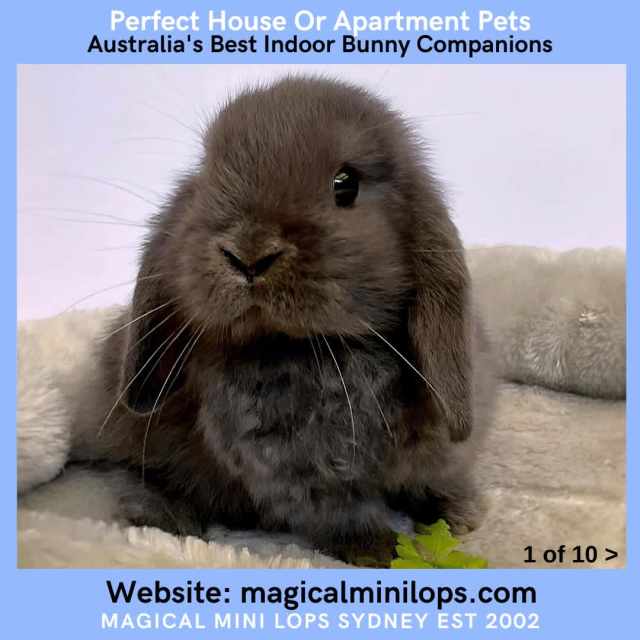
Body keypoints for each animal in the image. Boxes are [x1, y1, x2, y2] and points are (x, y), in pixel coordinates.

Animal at [71, 76, 496, 564]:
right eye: (207, 175)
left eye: (346, 184)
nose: (248, 253)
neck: (319, 347)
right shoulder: (298, 474)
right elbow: (343, 515)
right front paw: (382, 552)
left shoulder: (441, 449)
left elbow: (436, 479)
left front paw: (459, 514)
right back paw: (165, 516)